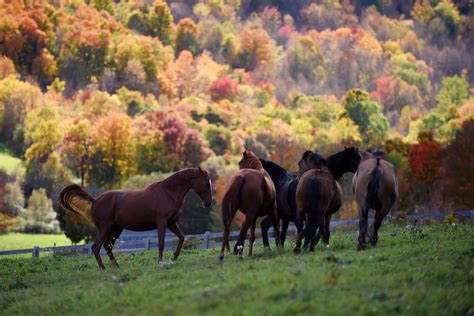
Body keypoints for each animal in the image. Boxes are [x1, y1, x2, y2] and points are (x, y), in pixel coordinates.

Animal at [60, 168, 212, 270]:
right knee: (96, 247)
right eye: (206, 183)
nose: (208, 203)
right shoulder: (162, 223)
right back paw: (103, 268)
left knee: (107, 246)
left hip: (116, 229)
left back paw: (116, 266)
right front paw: (160, 263)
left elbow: (181, 238)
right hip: (105, 228)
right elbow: (161, 243)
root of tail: (95, 200)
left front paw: (174, 258)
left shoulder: (171, 223)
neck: (168, 193)